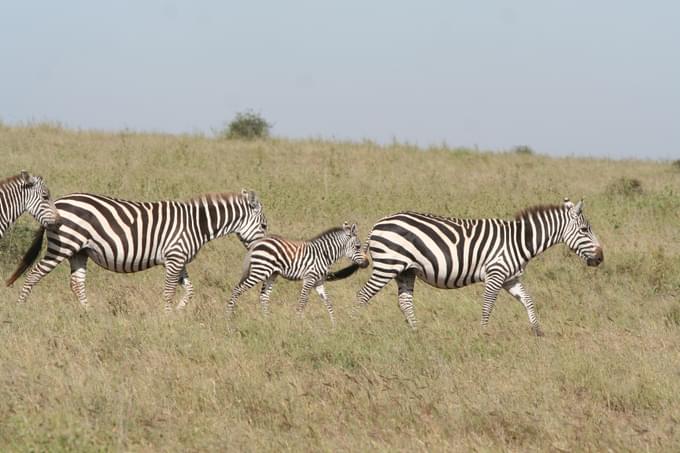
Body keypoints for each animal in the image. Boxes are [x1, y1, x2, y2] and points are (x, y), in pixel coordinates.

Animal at [7, 188, 270, 310]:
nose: (261, 249)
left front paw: (178, 313)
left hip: (79, 251)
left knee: (76, 283)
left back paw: (89, 313)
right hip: (63, 246)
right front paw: (167, 317)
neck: (198, 223)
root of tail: (56, 203)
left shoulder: (179, 259)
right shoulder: (175, 257)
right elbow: (169, 291)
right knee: (34, 274)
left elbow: (190, 291)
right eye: (265, 225)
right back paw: (20, 307)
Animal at [227, 221, 366, 324]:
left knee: (264, 296)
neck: (324, 255)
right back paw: (229, 318)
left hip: (272, 274)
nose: (367, 263)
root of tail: (258, 242)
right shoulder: (309, 278)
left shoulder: (318, 281)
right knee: (237, 289)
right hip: (260, 271)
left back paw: (267, 321)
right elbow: (303, 302)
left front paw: (334, 325)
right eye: (358, 247)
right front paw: (298, 324)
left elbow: (328, 302)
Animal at [332, 199, 604, 336]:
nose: (601, 258)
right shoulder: (496, 274)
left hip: (406, 271)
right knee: (362, 295)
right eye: (584, 230)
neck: (519, 241)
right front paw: (482, 334)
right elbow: (487, 305)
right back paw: (351, 328)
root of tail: (378, 224)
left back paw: (417, 333)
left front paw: (537, 331)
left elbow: (528, 300)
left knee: (404, 301)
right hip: (388, 265)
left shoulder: (511, 278)